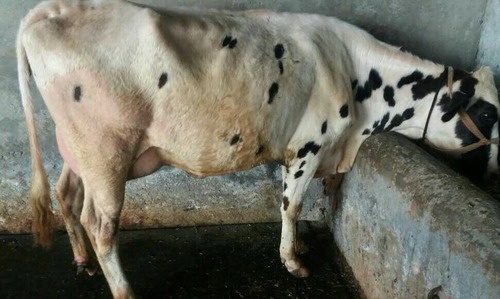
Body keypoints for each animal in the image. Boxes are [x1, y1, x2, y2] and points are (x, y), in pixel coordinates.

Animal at [17, 1, 498, 298]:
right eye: (488, 113)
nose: (496, 169)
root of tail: (46, 10)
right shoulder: (308, 145)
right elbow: (291, 205)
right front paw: (293, 261)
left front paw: (297, 250)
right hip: (106, 154)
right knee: (100, 225)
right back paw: (123, 289)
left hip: (77, 149)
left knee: (66, 197)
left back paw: (82, 261)